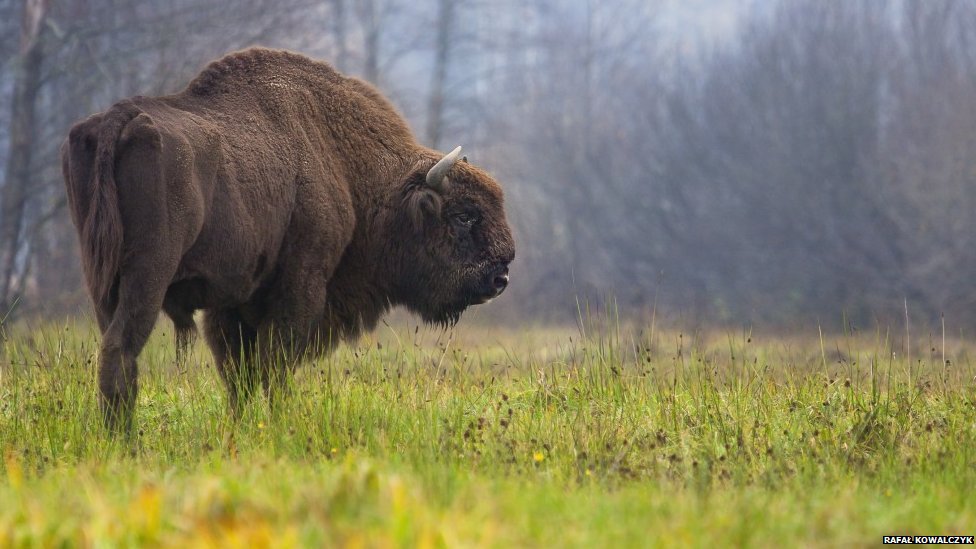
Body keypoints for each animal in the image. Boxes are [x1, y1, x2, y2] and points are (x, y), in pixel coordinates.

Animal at [61, 48, 516, 432]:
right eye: (463, 215)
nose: (501, 276)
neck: (346, 165)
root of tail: (119, 118)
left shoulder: (231, 305)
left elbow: (240, 375)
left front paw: (242, 428)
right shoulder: (299, 288)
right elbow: (274, 367)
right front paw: (279, 426)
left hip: (101, 280)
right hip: (148, 275)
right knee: (121, 349)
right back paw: (125, 441)